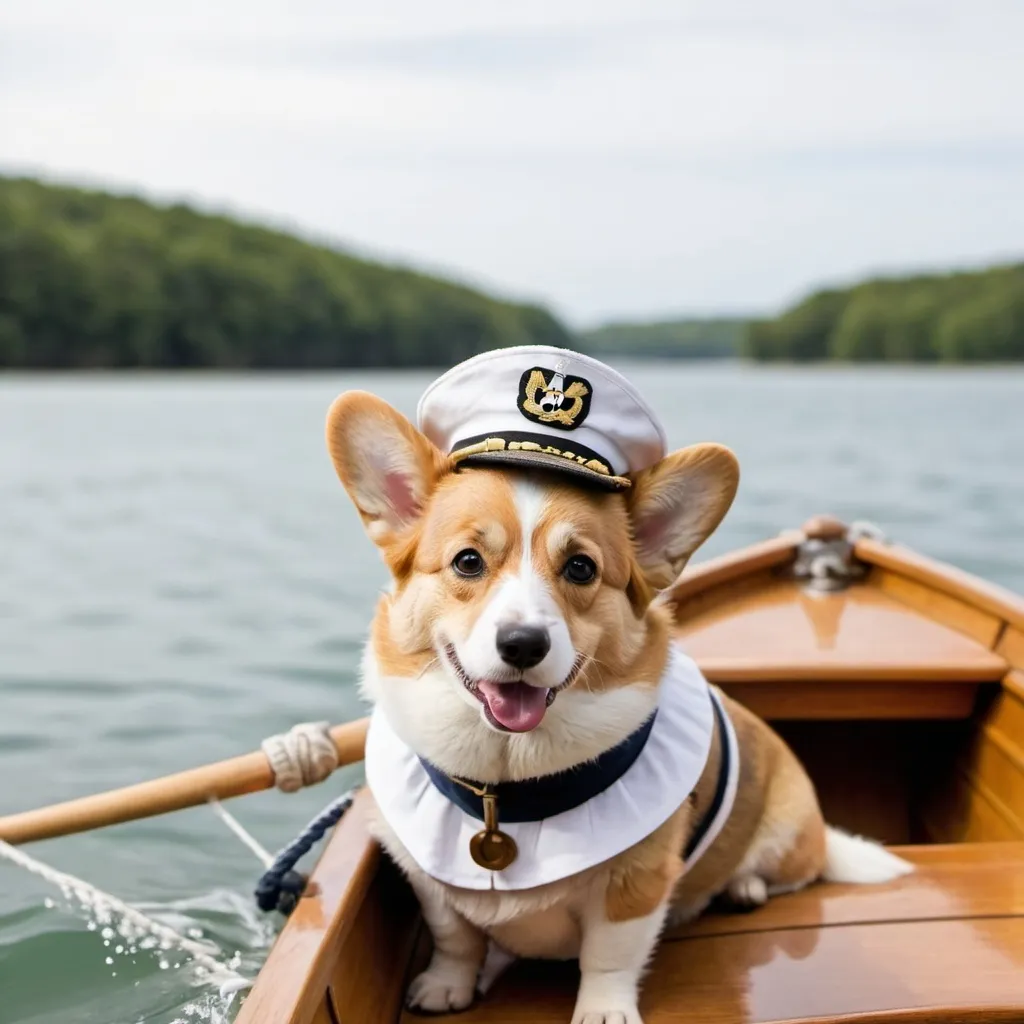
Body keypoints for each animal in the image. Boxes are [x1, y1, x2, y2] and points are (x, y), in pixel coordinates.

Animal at [323, 348, 909, 1019]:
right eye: (467, 561)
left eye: (581, 568)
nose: (523, 644)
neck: (507, 790)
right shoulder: (432, 881)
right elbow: (455, 936)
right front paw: (447, 986)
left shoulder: (635, 886)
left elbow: (609, 955)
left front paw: (604, 1009)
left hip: (787, 831)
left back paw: (746, 884)